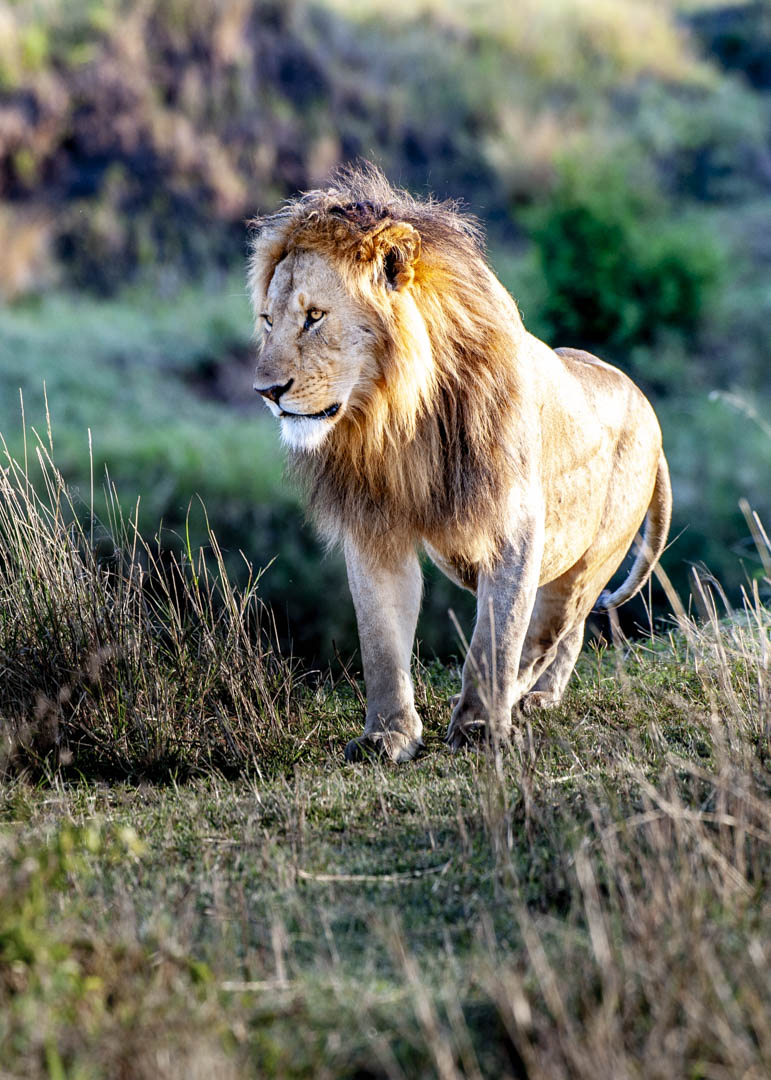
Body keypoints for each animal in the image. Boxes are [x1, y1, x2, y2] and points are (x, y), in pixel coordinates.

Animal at [248, 164, 671, 762]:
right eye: (267, 320)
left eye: (314, 317)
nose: (267, 391)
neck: (396, 416)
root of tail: (646, 405)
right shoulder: (375, 528)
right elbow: (380, 639)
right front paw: (388, 735)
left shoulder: (516, 523)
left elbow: (496, 634)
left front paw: (478, 729)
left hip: (587, 563)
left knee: (554, 632)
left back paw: (525, 699)